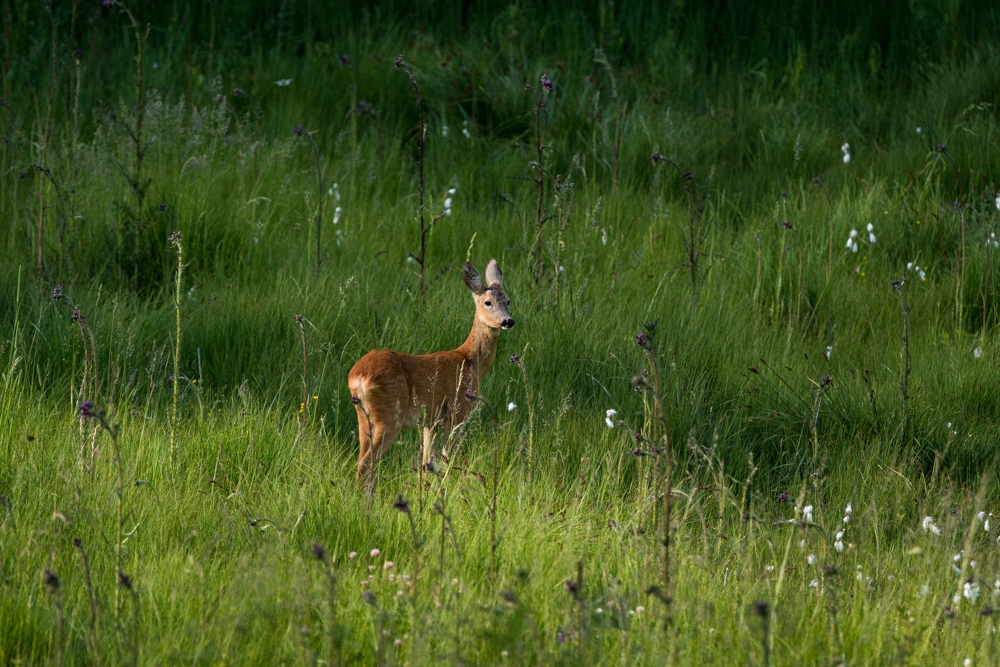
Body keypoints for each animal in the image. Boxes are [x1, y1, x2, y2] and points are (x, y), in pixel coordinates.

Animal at [346, 258, 516, 480]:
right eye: (488, 302)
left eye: (508, 301)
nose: (508, 321)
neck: (471, 362)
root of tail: (357, 377)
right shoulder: (457, 410)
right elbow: (447, 457)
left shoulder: (431, 421)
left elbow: (428, 461)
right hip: (391, 413)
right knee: (367, 462)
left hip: (363, 416)